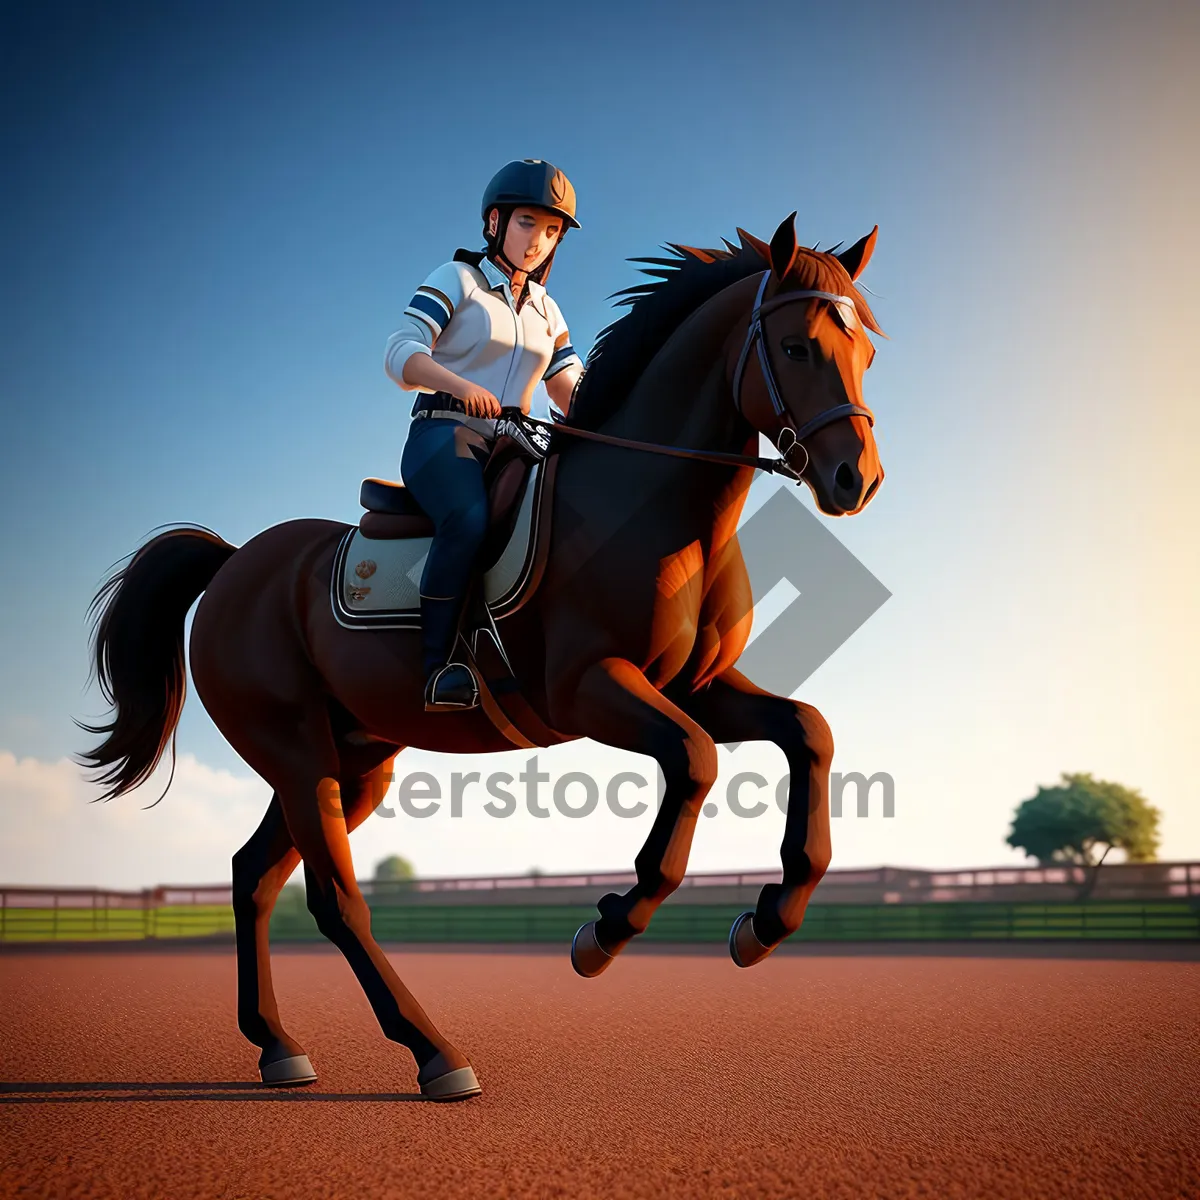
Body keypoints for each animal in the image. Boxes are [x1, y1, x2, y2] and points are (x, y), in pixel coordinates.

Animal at [77, 213, 883, 1099]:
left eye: (866, 352)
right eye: (798, 346)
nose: (858, 479)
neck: (652, 509)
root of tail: (234, 563)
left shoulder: (696, 683)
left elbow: (808, 731)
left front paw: (767, 921)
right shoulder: (590, 688)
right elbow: (697, 760)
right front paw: (606, 931)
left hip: (353, 758)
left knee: (254, 875)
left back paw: (278, 1045)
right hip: (294, 751)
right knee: (334, 900)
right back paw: (435, 1054)